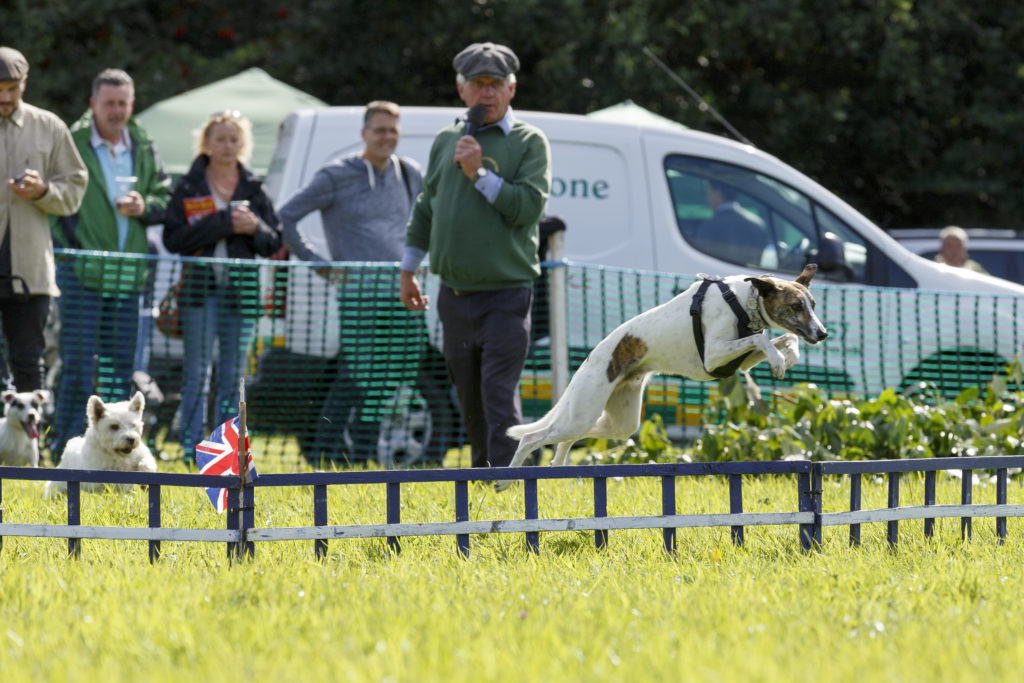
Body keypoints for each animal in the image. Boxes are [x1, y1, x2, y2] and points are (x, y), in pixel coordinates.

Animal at [499, 264, 827, 489]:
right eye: (795, 306)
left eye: (813, 305)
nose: (823, 333)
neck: (741, 301)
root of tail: (589, 360)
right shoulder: (714, 355)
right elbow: (762, 339)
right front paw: (779, 362)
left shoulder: (741, 362)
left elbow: (783, 339)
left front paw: (787, 357)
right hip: (584, 409)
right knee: (531, 437)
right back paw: (506, 479)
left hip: (617, 422)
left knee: (568, 439)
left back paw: (558, 464)